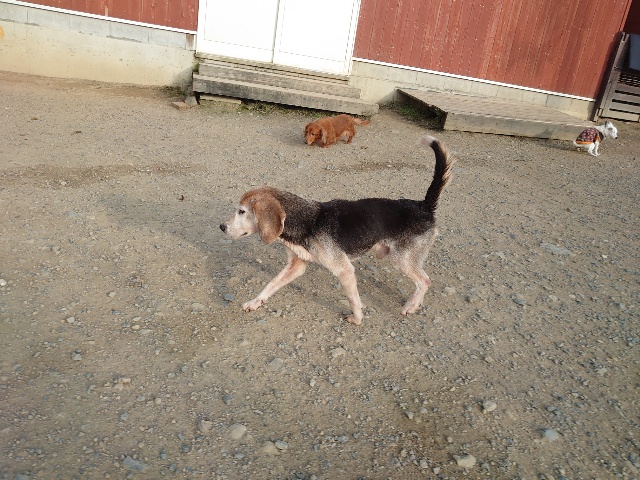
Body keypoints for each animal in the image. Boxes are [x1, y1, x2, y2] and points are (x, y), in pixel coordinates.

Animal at [220, 135, 453, 326]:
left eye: (242, 211)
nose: (221, 227)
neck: (306, 219)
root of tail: (424, 206)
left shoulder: (344, 270)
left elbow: (353, 299)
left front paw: (357, 319)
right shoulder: (296, 265)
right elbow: (271, 284)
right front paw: (254, 302)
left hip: (402, 260)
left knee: (424, 281)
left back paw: (411, 306)